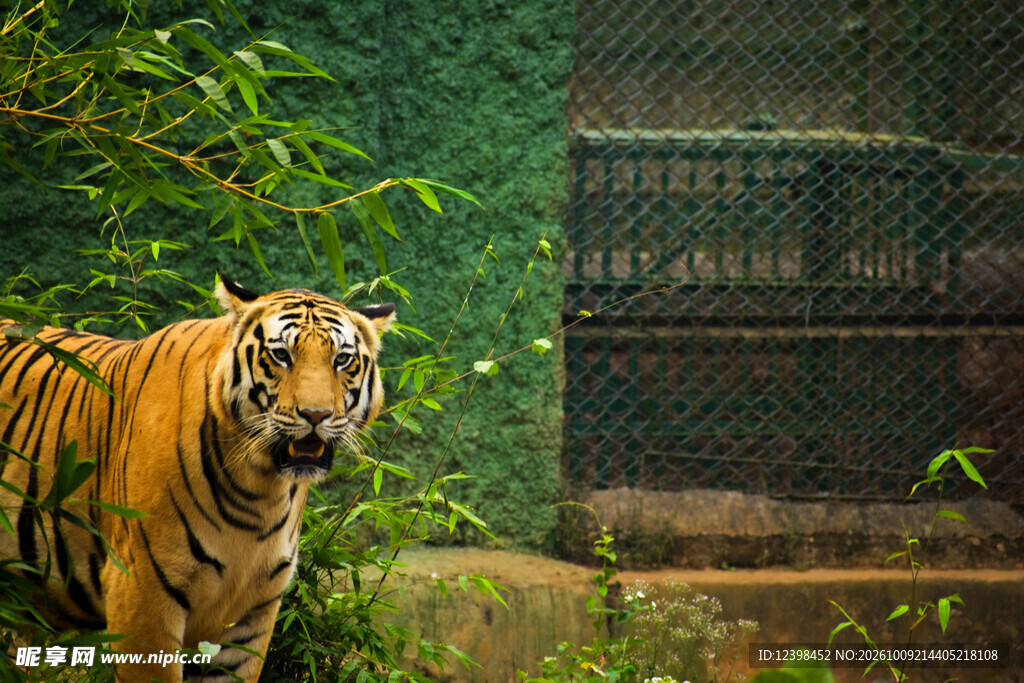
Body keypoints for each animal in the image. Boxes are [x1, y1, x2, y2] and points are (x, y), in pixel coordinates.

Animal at [0, 275, 395, 682]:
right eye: (281, 355)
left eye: (342, 359)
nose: (316, 415)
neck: (262, 490)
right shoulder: (140, 595)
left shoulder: (251, 614)